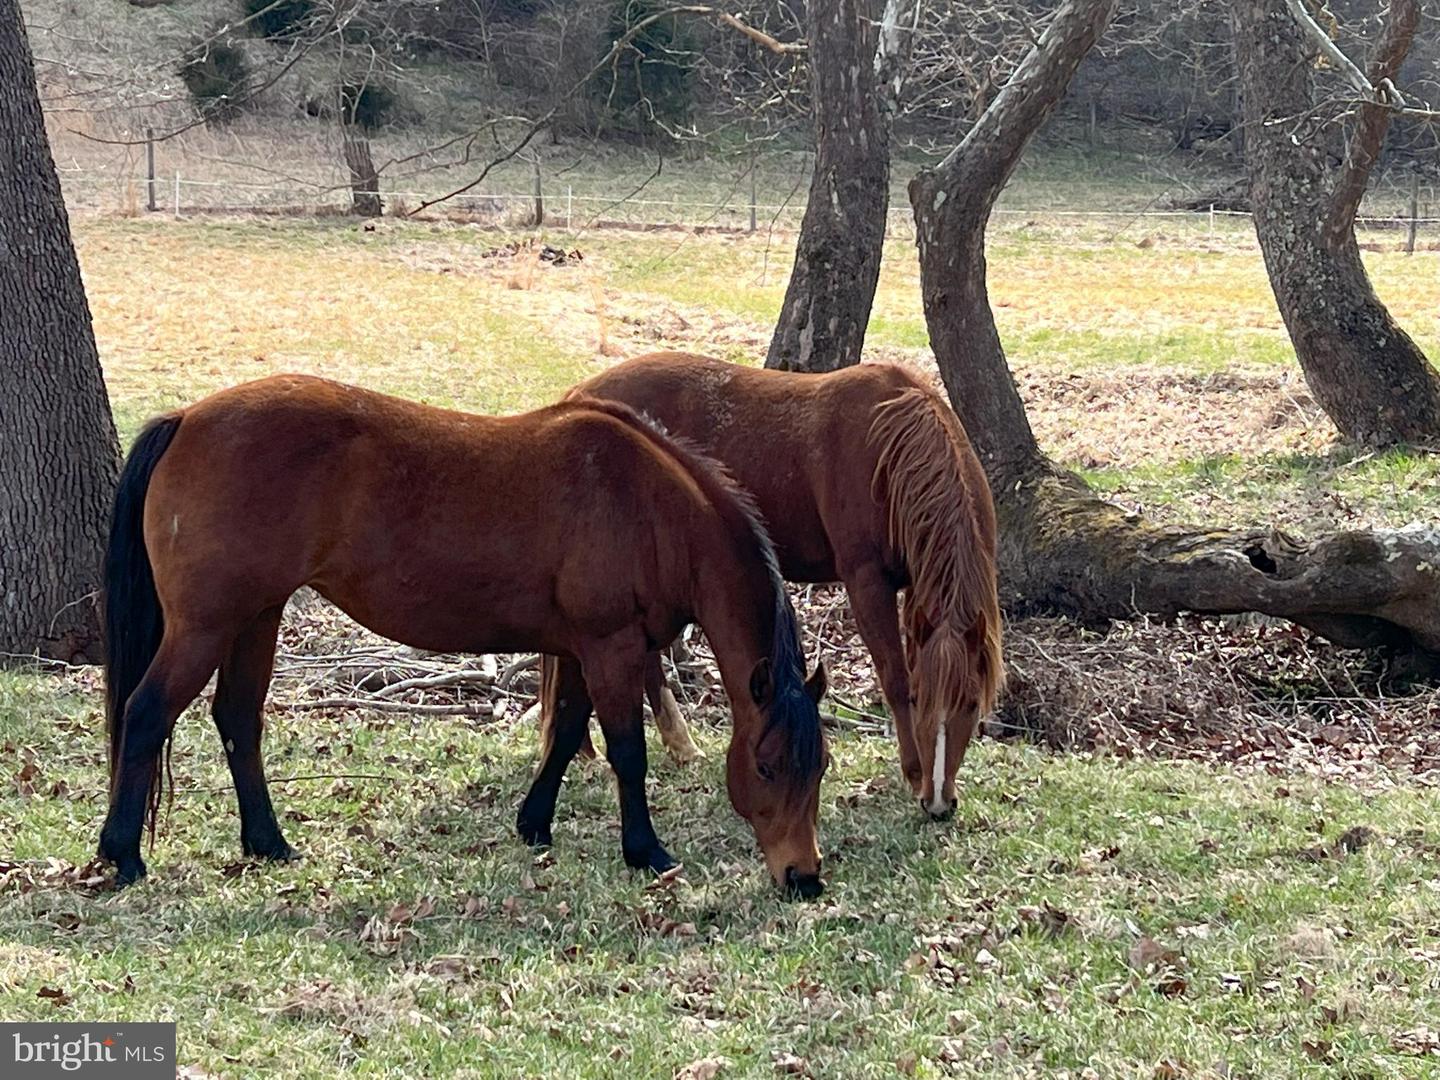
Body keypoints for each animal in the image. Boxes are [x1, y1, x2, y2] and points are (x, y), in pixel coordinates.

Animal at [98, 377, 823, 898]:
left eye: (818, 767)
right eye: (767, 766)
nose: (805, 877)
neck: (648, 505)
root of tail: (187, 418)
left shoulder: (582, 649)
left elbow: (566, 732)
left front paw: (534, 823)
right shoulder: (611, 647)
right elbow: (627, 751)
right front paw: (645, 850)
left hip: (256, 617)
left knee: (237, 721)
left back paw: (268, 843)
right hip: (206, 626)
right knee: (146, 713)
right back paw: (122, 854)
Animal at [544, 355, 1008, 817]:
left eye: (971, 703)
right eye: (921, 699)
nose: (939, 801)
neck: (888, 451)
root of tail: (579, 396)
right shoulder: (866, 581)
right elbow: (893, 677)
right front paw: (912, 773)